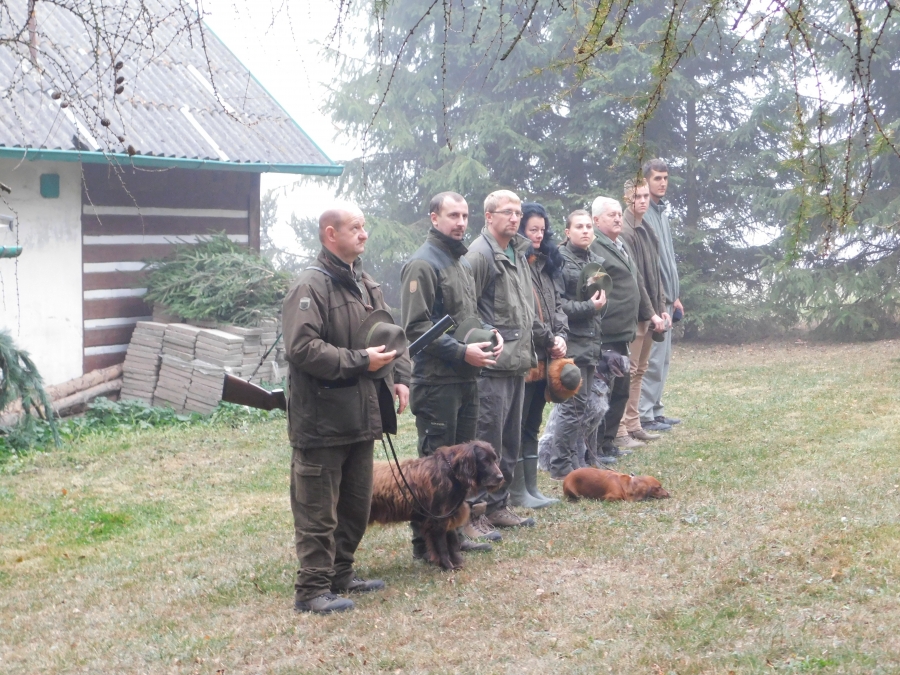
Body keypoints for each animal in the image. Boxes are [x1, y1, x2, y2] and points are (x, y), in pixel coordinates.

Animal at [369, 440, 504, 570]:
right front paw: (448, 566)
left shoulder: (449, 516)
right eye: (484, 460)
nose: (501, 477)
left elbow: (452, 541)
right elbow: (442, 546)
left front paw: (455, 562)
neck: (451, 473)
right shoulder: (437, 520)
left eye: (494, 459)